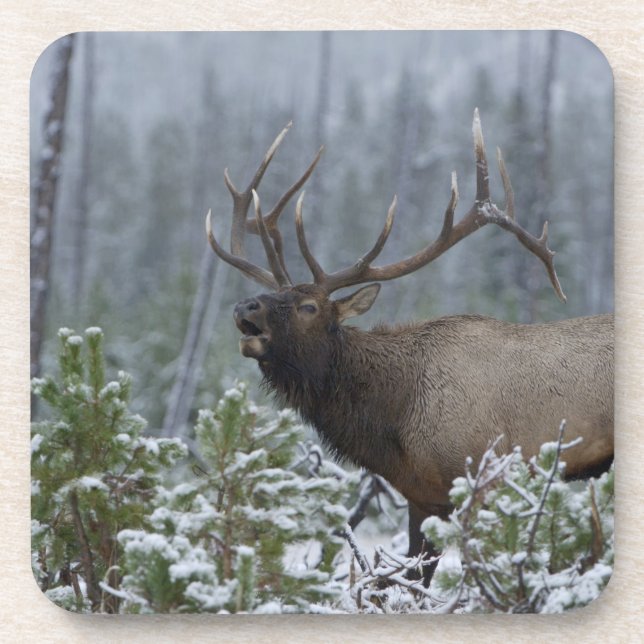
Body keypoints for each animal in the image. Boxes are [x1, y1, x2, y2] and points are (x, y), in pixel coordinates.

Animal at [205, 111, 614, 584]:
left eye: (309, 306)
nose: (244, 306)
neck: (395, 417)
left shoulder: (485, 476)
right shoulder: (423, 497)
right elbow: (416, 578)